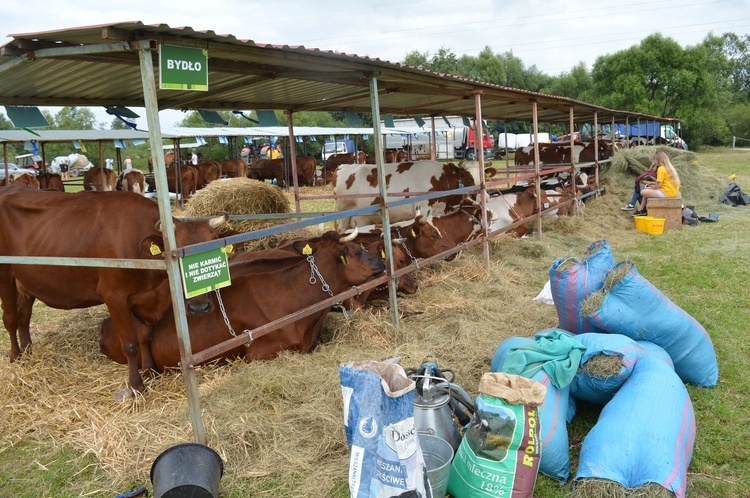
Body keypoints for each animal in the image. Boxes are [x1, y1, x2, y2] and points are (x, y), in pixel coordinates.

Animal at [0, 185, 228, 392]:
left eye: (216, 247)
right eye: (176, 253)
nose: (199, 308)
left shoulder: (142, 296)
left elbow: (145, 336)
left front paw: (149, 371)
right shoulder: (114, 296)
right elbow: (130, 344)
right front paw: (136, 386)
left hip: (25, 280)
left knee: (24, 316)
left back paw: (29, 352)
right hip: (5, 273)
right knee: (10, 319)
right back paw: (15, 357)